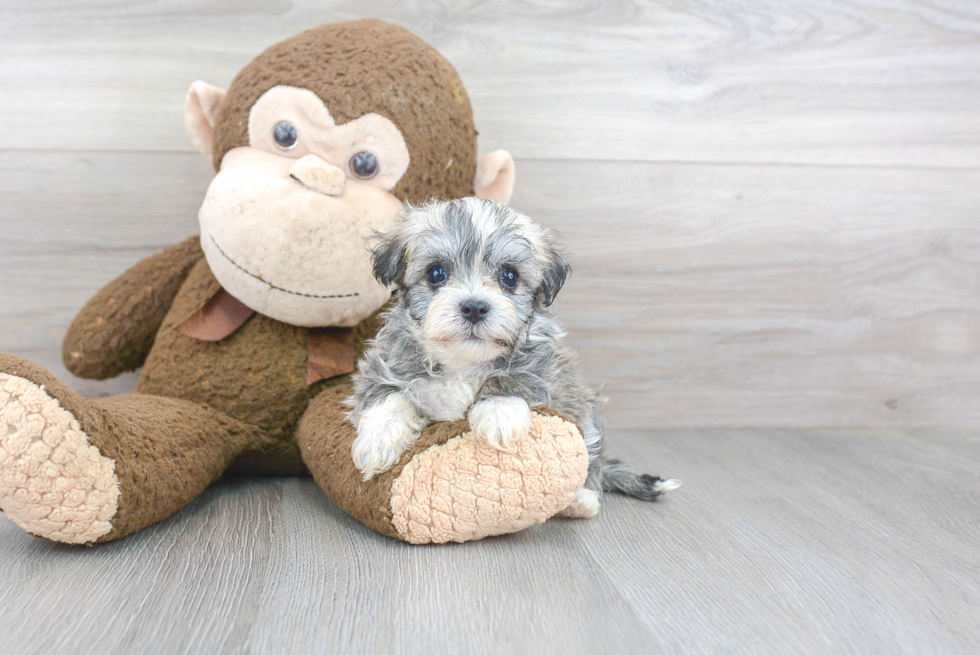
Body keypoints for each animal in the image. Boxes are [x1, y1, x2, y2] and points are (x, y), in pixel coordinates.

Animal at [346, 199, 680, 516]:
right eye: (436, 273)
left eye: (509, 277)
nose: (474, 307)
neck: (463, 363)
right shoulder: (382, 365)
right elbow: (389, 396)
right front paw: (378, 440)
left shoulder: (546, 366)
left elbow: (516, 376)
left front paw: (499, 411)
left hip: (588, 416)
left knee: (592, 461)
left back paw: (581, 500)